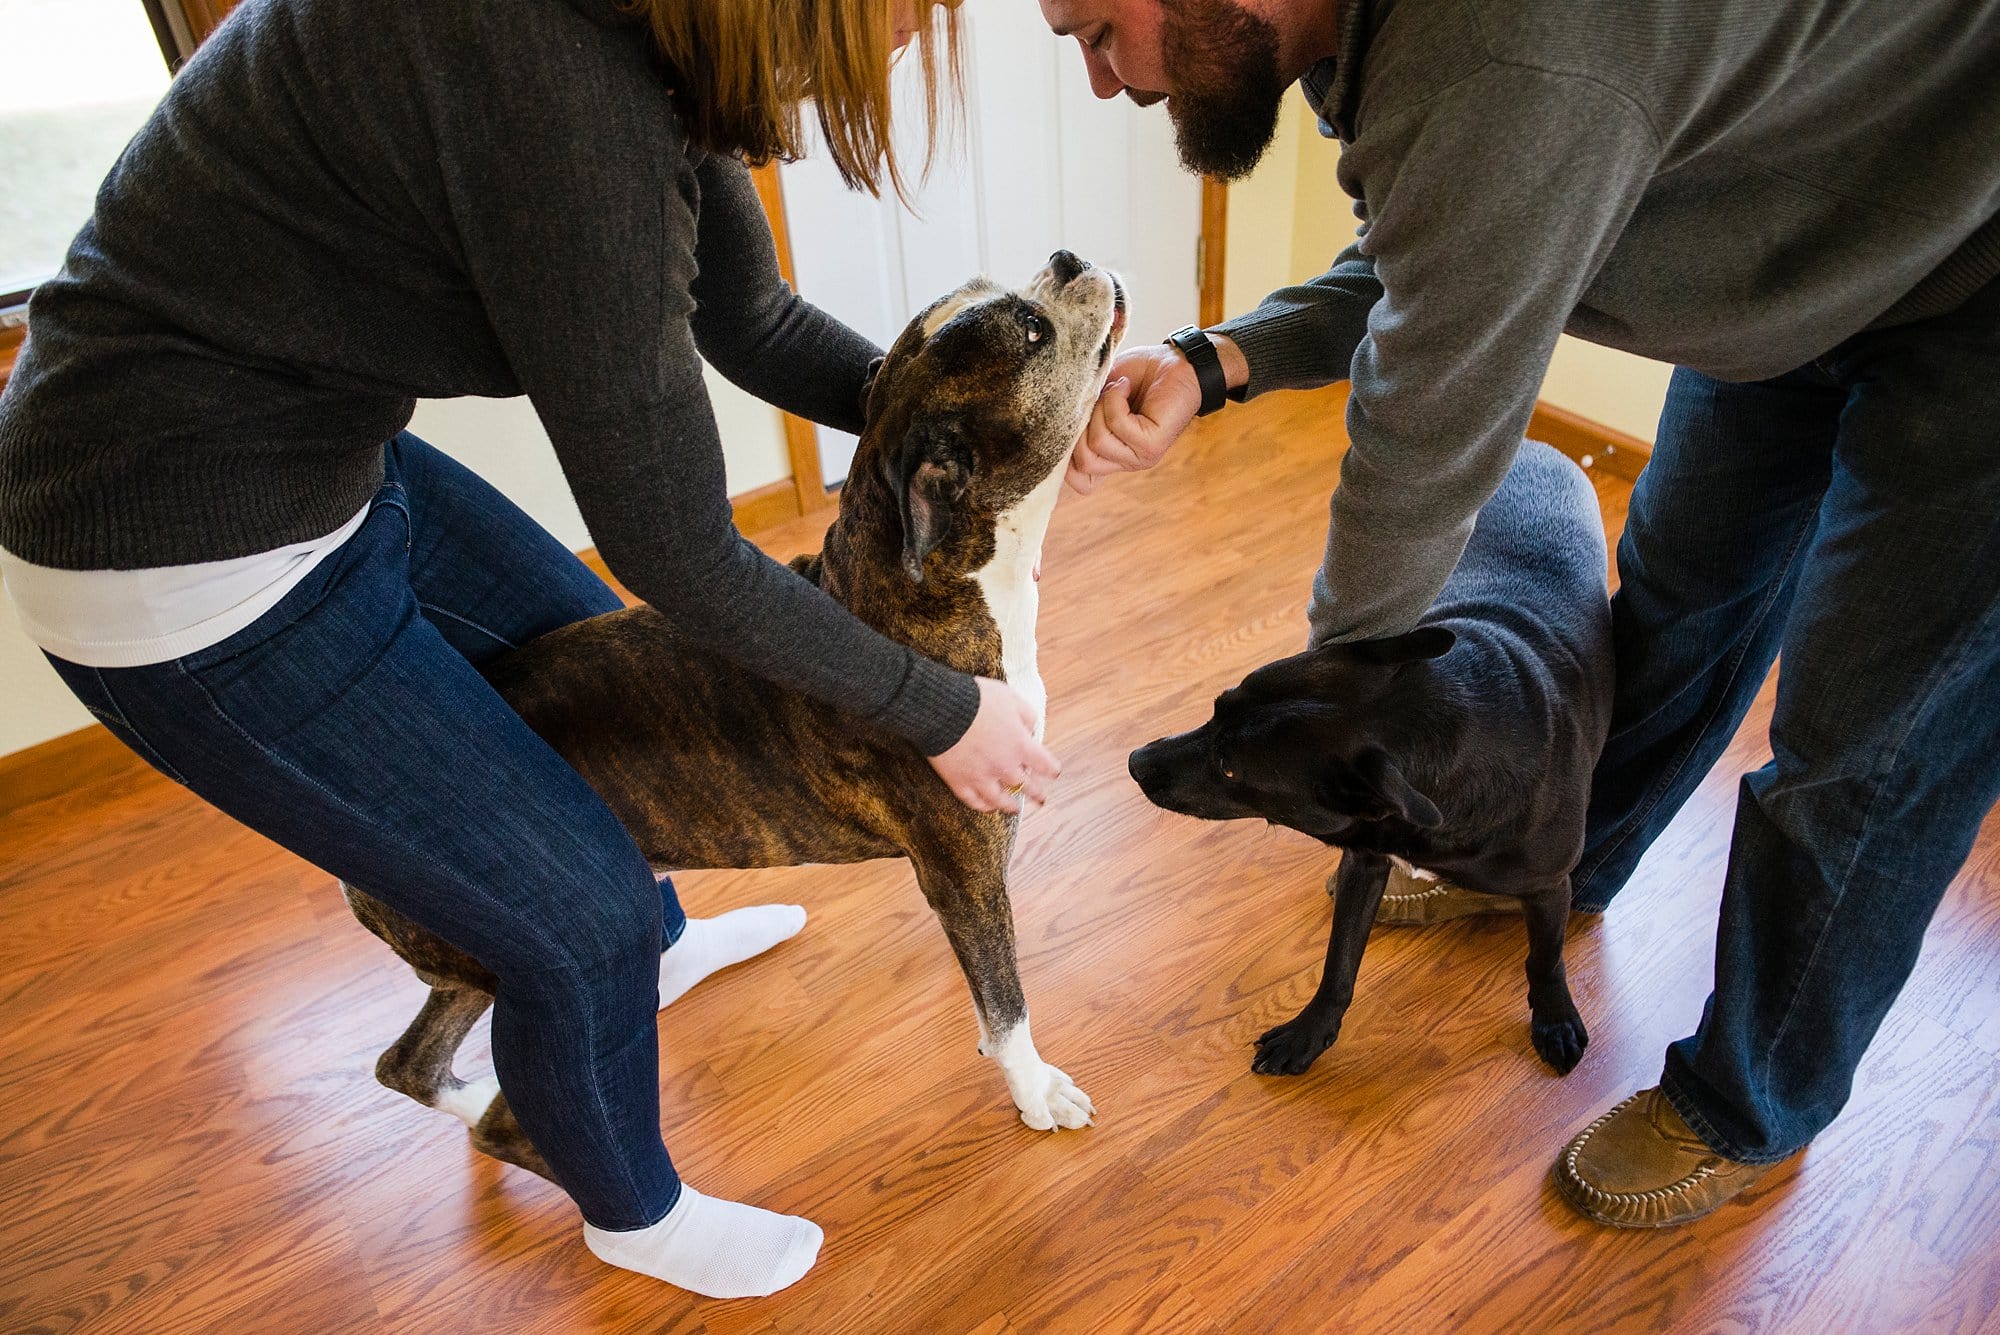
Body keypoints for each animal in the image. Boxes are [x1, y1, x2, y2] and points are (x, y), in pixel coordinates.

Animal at [344, 252, 1128, 1175]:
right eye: (1032, 332)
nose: (1068, 260)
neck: (930, 580)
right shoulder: (964, 870)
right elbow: (1005, 1003)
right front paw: (1034, 1088)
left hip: (470, 962)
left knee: (408, 1061)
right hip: (514, 956)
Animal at [1136, 443, 1616, 1079]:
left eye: (1232, 769)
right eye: (1217, 707)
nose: (1137, 761)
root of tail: (1538, 443)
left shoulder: (1549, 886)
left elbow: (1546, 958)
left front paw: (1555, 1016)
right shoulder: (1363, 859)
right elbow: (1339, 961)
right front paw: (1310, 1032)